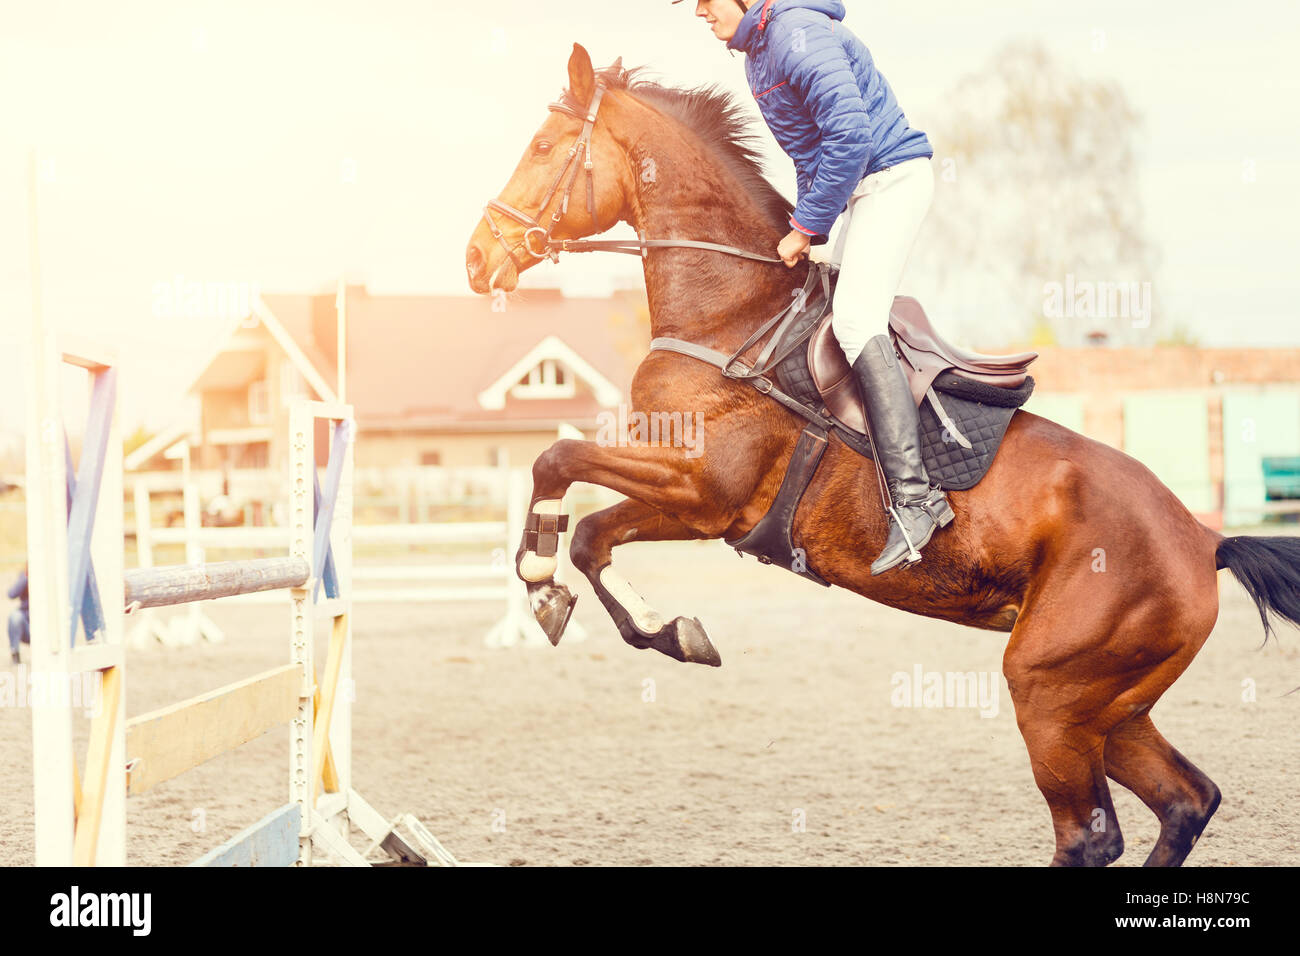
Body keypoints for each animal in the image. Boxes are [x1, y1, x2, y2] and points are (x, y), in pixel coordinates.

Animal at [462, 42, 1294, 868]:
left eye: (543, 148)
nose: (475, 260)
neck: (737, 317)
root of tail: (1204, 541)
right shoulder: (706, 509)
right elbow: (593, 533)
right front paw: (655, 627)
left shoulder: (701, 485)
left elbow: (556, 461)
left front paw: (537, 579)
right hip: (1110, 709)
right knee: (1187, 800)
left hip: (1050, 691)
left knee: (1090, 835)